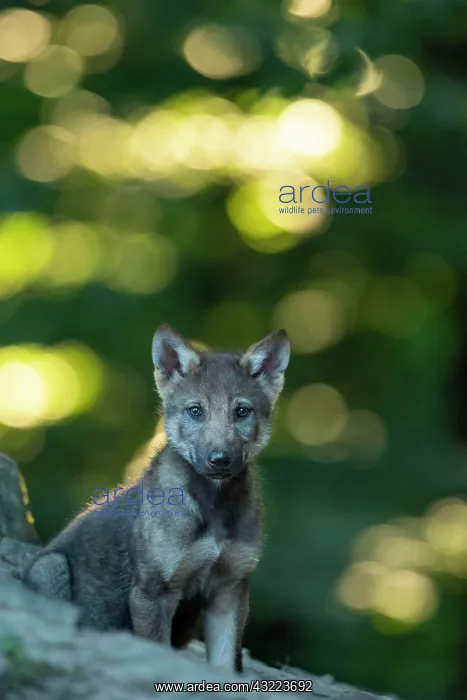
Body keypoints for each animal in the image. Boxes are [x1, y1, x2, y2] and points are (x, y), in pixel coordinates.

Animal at [23, 324, 290, 671]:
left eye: (242, 411)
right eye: (195, 411)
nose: (220, 460)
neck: (214, 508)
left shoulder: (230, 590)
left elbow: (226, 666)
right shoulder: (153, 592)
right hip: (50, 568)